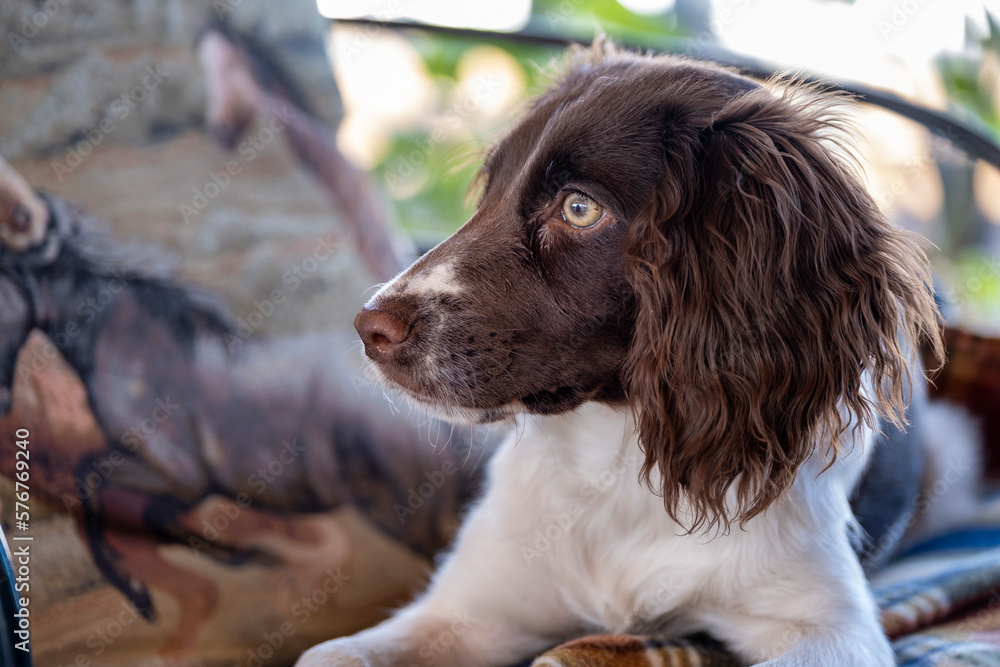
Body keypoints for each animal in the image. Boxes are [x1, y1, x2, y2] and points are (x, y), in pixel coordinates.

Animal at [296, 44, 944, 664]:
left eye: (579, 208)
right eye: (490, 191)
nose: (369, 329)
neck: (614, 464)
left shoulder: (831, 627)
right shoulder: (470, 611)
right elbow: (330, 653)